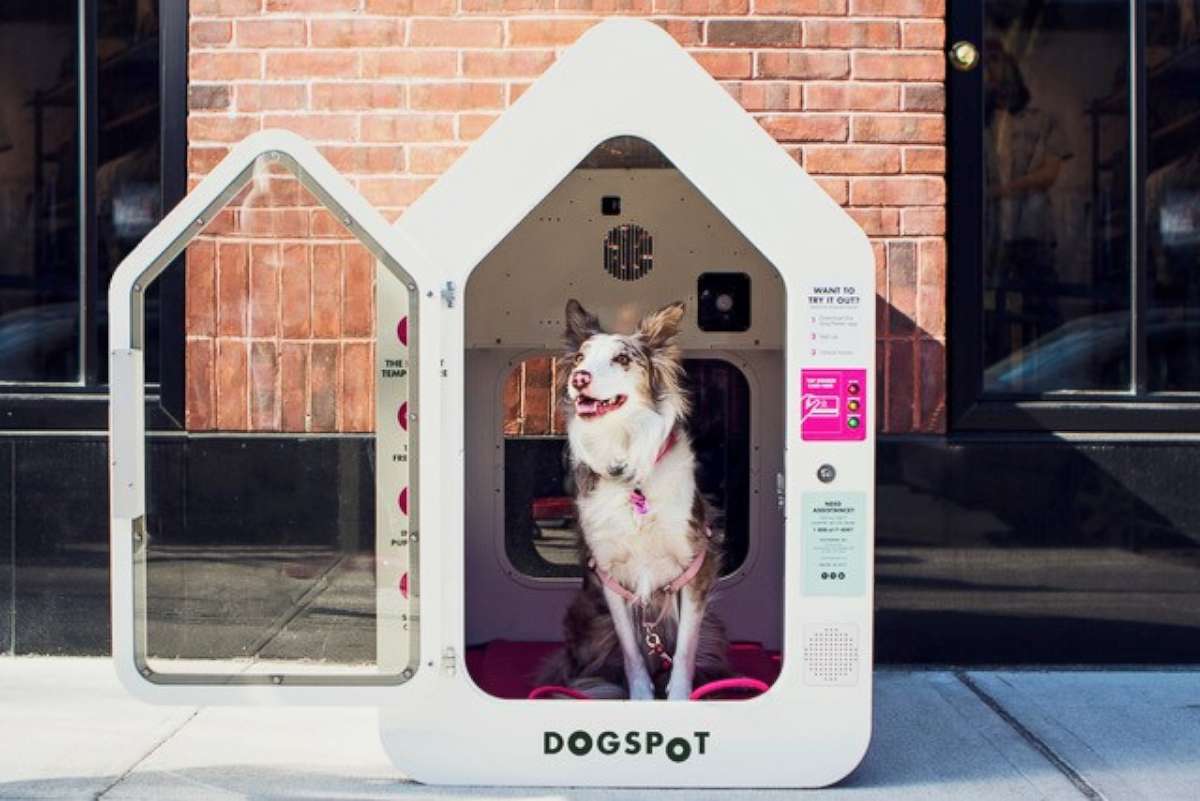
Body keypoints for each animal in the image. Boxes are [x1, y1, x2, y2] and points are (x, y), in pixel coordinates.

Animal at [537, 299, 729, 700]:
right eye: (580, 357)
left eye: (623, 359)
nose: (579, 379)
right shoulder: (611, 575)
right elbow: (631, 653)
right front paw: (641, 698)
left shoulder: (695, 568)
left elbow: (685, 650)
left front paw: (679, 698)